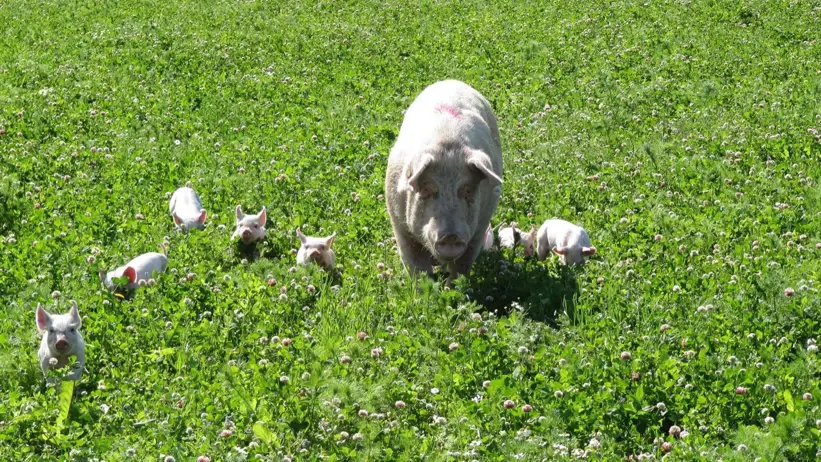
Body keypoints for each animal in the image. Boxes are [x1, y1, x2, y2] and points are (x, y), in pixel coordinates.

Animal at [385, 80, 503, 280]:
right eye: (427, 190)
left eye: (468, 191)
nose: (451, 236)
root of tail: (452, 81)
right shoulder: (401, 229)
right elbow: (417, 270)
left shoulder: (478, 230)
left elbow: (461, 269)